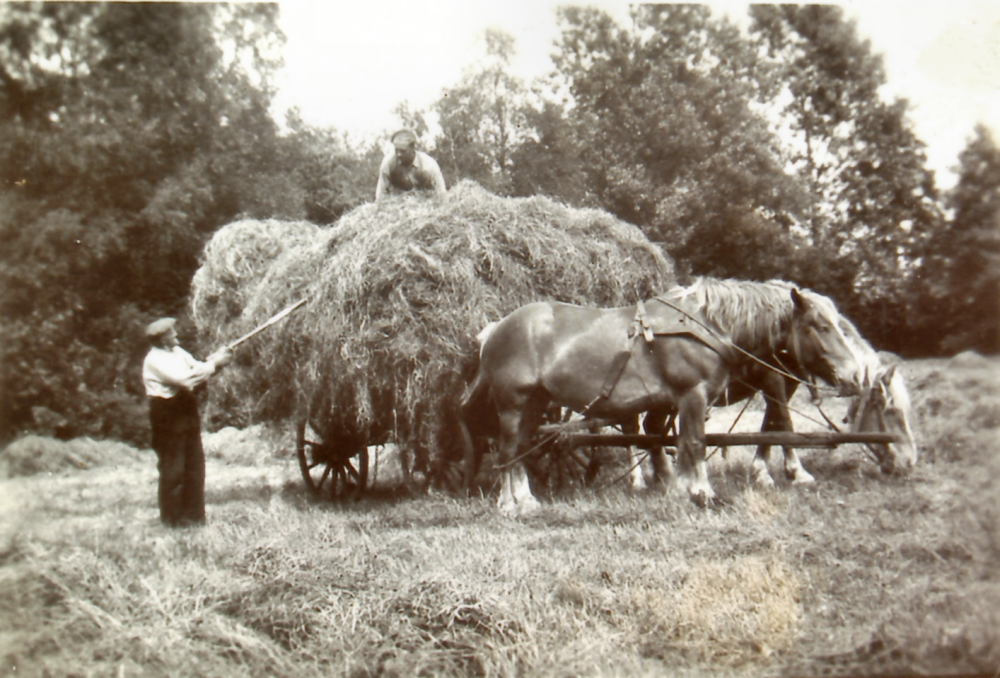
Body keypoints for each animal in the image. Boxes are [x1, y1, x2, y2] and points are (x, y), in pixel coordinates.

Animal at [464, 278, 864, 516]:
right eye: (821, 326)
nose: (855, 375)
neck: (704, 327)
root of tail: (495, 329)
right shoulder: (692, 396)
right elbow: (694, 443)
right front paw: (700, 491)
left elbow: (672, 442)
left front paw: (678, 488)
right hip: (514, 404)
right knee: (507, 451)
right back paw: (508, 503)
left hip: (534, 405)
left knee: (520, 450)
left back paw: (527, 499)